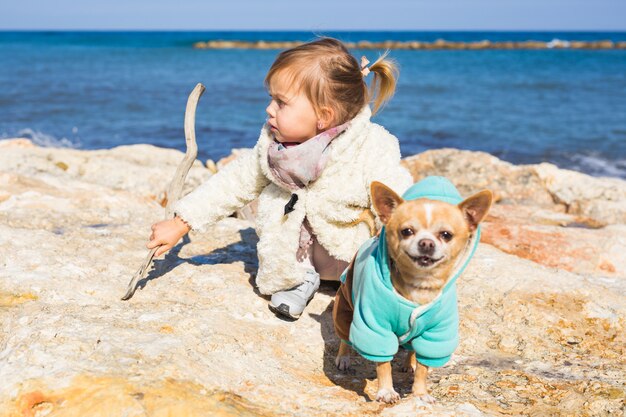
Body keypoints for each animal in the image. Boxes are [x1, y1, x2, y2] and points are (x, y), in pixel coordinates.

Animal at [334, 176, 490, 404]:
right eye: (406, 231)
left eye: (446, 235)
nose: (426, 243)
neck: (419, 284)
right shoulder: (375, 326)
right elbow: (383, 364)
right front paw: (386, 391)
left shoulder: (435, 333)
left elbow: (424, 367)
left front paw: (420, 393)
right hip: (344, 311)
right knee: (345, 338)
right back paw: (344, 358)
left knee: (411, 350)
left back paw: (409, 364)